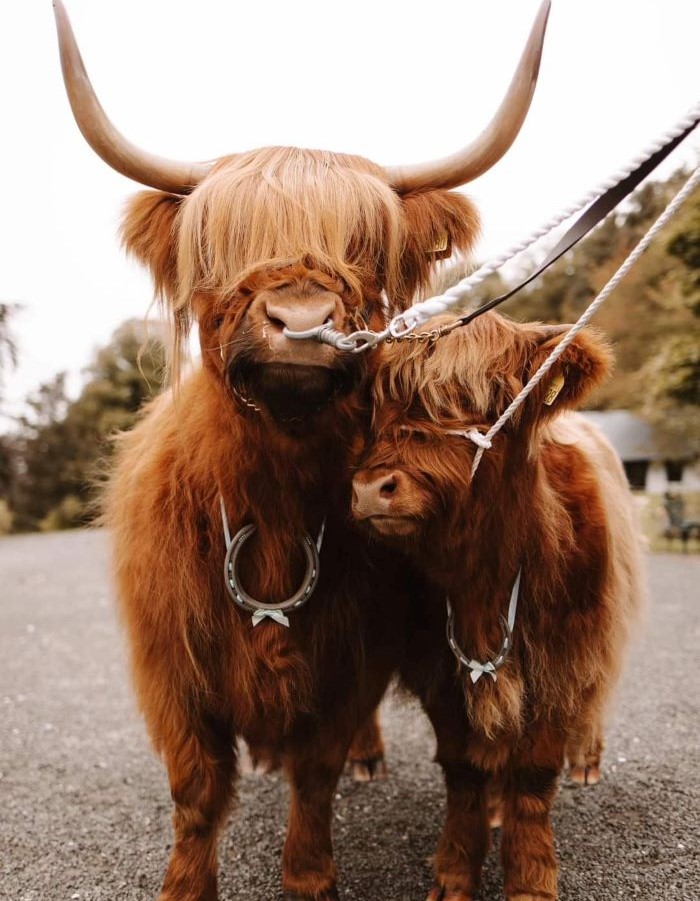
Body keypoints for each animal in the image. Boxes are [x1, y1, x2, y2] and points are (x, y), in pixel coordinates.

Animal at [52, 0, 548, 896]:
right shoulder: (171, 669)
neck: (275, 504)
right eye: (221, 248)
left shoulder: (348, 657)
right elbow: (196, 788)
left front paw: (310, 874)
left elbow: (315, 771)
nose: (304, 321)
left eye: (364, 251)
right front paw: (186, 882)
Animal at [352, 312, 644, 900]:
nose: (373, 488)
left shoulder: (561, 661)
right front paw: (455, 872)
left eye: (477, 400)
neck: (484, 584)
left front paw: (530, 879)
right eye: (378, 406)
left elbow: (533, 774)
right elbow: (463, 770)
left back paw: (586, 761)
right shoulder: (439, 671)